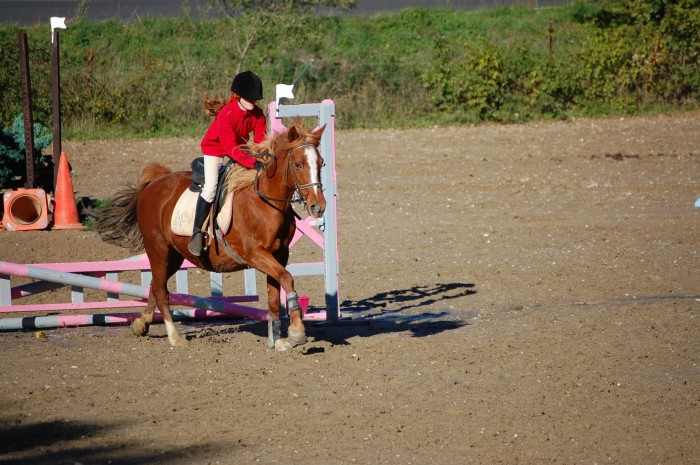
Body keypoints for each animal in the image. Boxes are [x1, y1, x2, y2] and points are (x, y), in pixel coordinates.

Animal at [93, 121, 328, 350]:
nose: (318, 207)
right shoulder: (255, 254)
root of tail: (156, 182)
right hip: (158, 248)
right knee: (161, 290)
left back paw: (142, 323)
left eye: (321, 163)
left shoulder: (279, 255)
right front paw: (297, 332)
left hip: (174, 255)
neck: (266, 203)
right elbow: (287, 278)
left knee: (154, 284)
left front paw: (278, 340)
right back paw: (174, 337)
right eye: (298, 164)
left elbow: (274, 293)